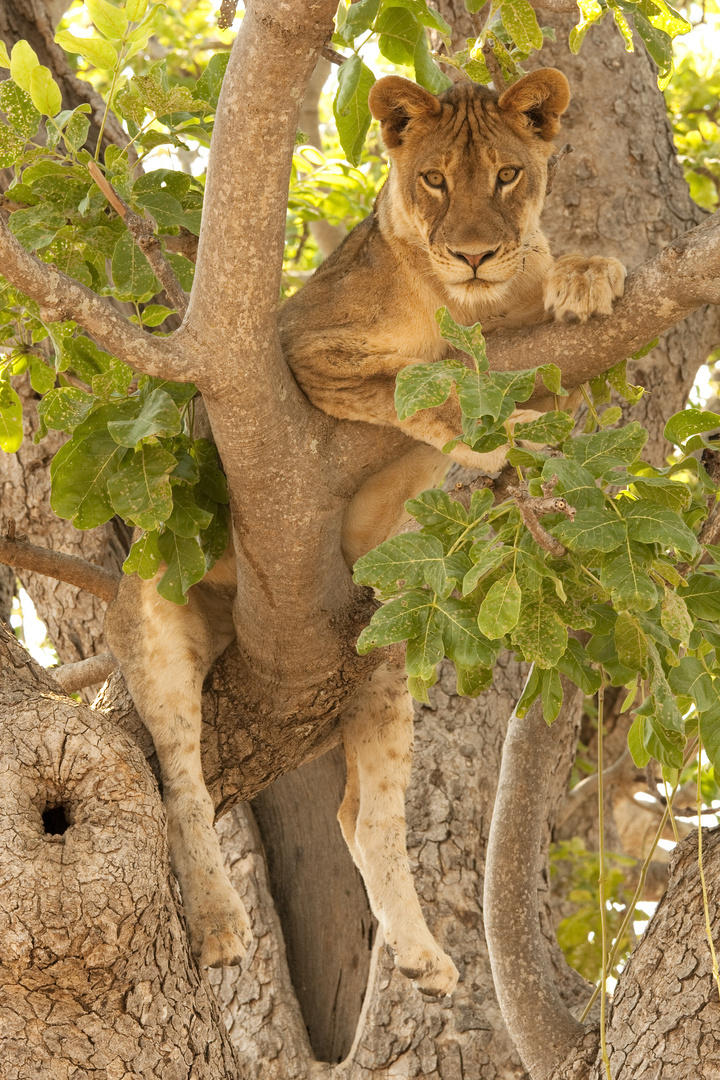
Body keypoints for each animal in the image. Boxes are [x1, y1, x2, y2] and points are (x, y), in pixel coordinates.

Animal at [104, 65, 626, 993]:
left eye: (507, 175)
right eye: (434, 181)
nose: (474, 252)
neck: (464, 299)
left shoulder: (533, 343)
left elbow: (538, 318)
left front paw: (587, 274)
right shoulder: (300, 349)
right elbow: (421, 377)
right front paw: (483, 434)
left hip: (383, 659)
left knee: (363, 815)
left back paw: (420, 957)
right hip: (154, 624)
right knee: (183, 786)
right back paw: (219, 925)